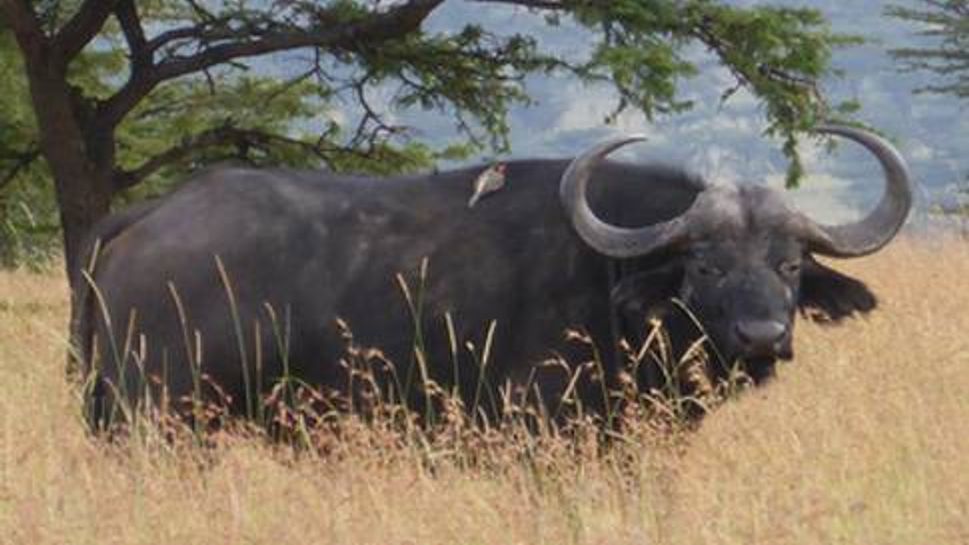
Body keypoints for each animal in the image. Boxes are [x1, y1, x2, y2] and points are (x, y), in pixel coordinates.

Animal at [73, 125, 908, 428]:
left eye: (789, 265)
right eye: (704, 264)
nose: (762, 334)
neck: (610, 286)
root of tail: (149, 216)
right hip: (161, 415)